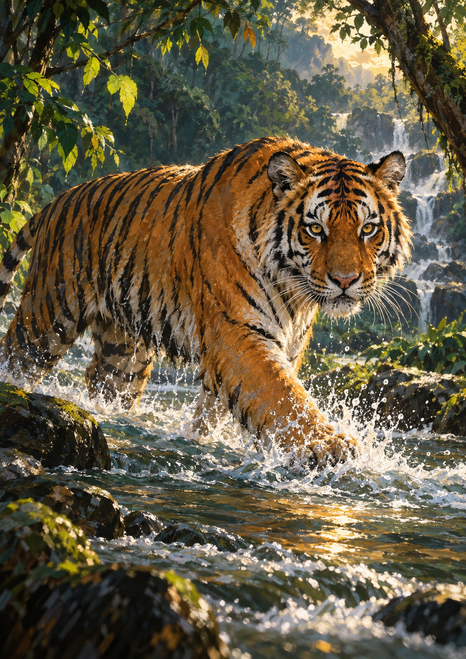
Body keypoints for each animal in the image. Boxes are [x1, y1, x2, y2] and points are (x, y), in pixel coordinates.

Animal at [0, 137, 411, 467]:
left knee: (106, 383)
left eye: (367, 229)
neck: (294, 289)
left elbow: (230, 407)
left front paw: (203, 439)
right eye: (315, 229)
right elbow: (282, 394)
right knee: (16, 355)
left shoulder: (282, 345)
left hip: (124, 354)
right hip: (47, 316)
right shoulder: (236, 331)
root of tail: (59, 200)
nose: (345, 281)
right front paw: (326, 445)